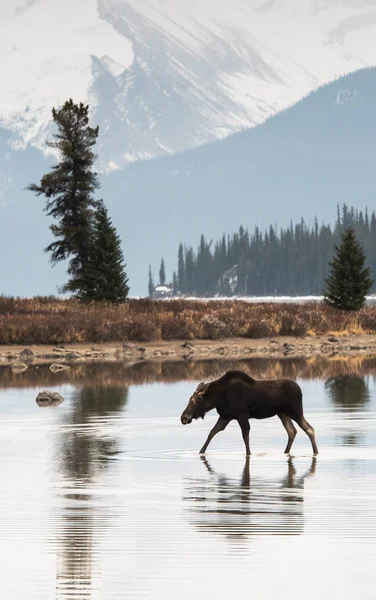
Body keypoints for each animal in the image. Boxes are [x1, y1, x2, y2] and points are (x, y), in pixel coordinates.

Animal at [180, 370, 318, 454]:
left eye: (192, 401)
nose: (183, 418)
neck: (218, 398)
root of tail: (300, 391)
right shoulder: (225, 416)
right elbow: (212, 432)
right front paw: (201, 451)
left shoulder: (242, 416)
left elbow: (245, 437)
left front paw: (249, 454)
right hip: (282, 414)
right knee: (292, 431)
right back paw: (286, 452)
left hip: (295, 412)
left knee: (309, 429)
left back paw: (316, 452)